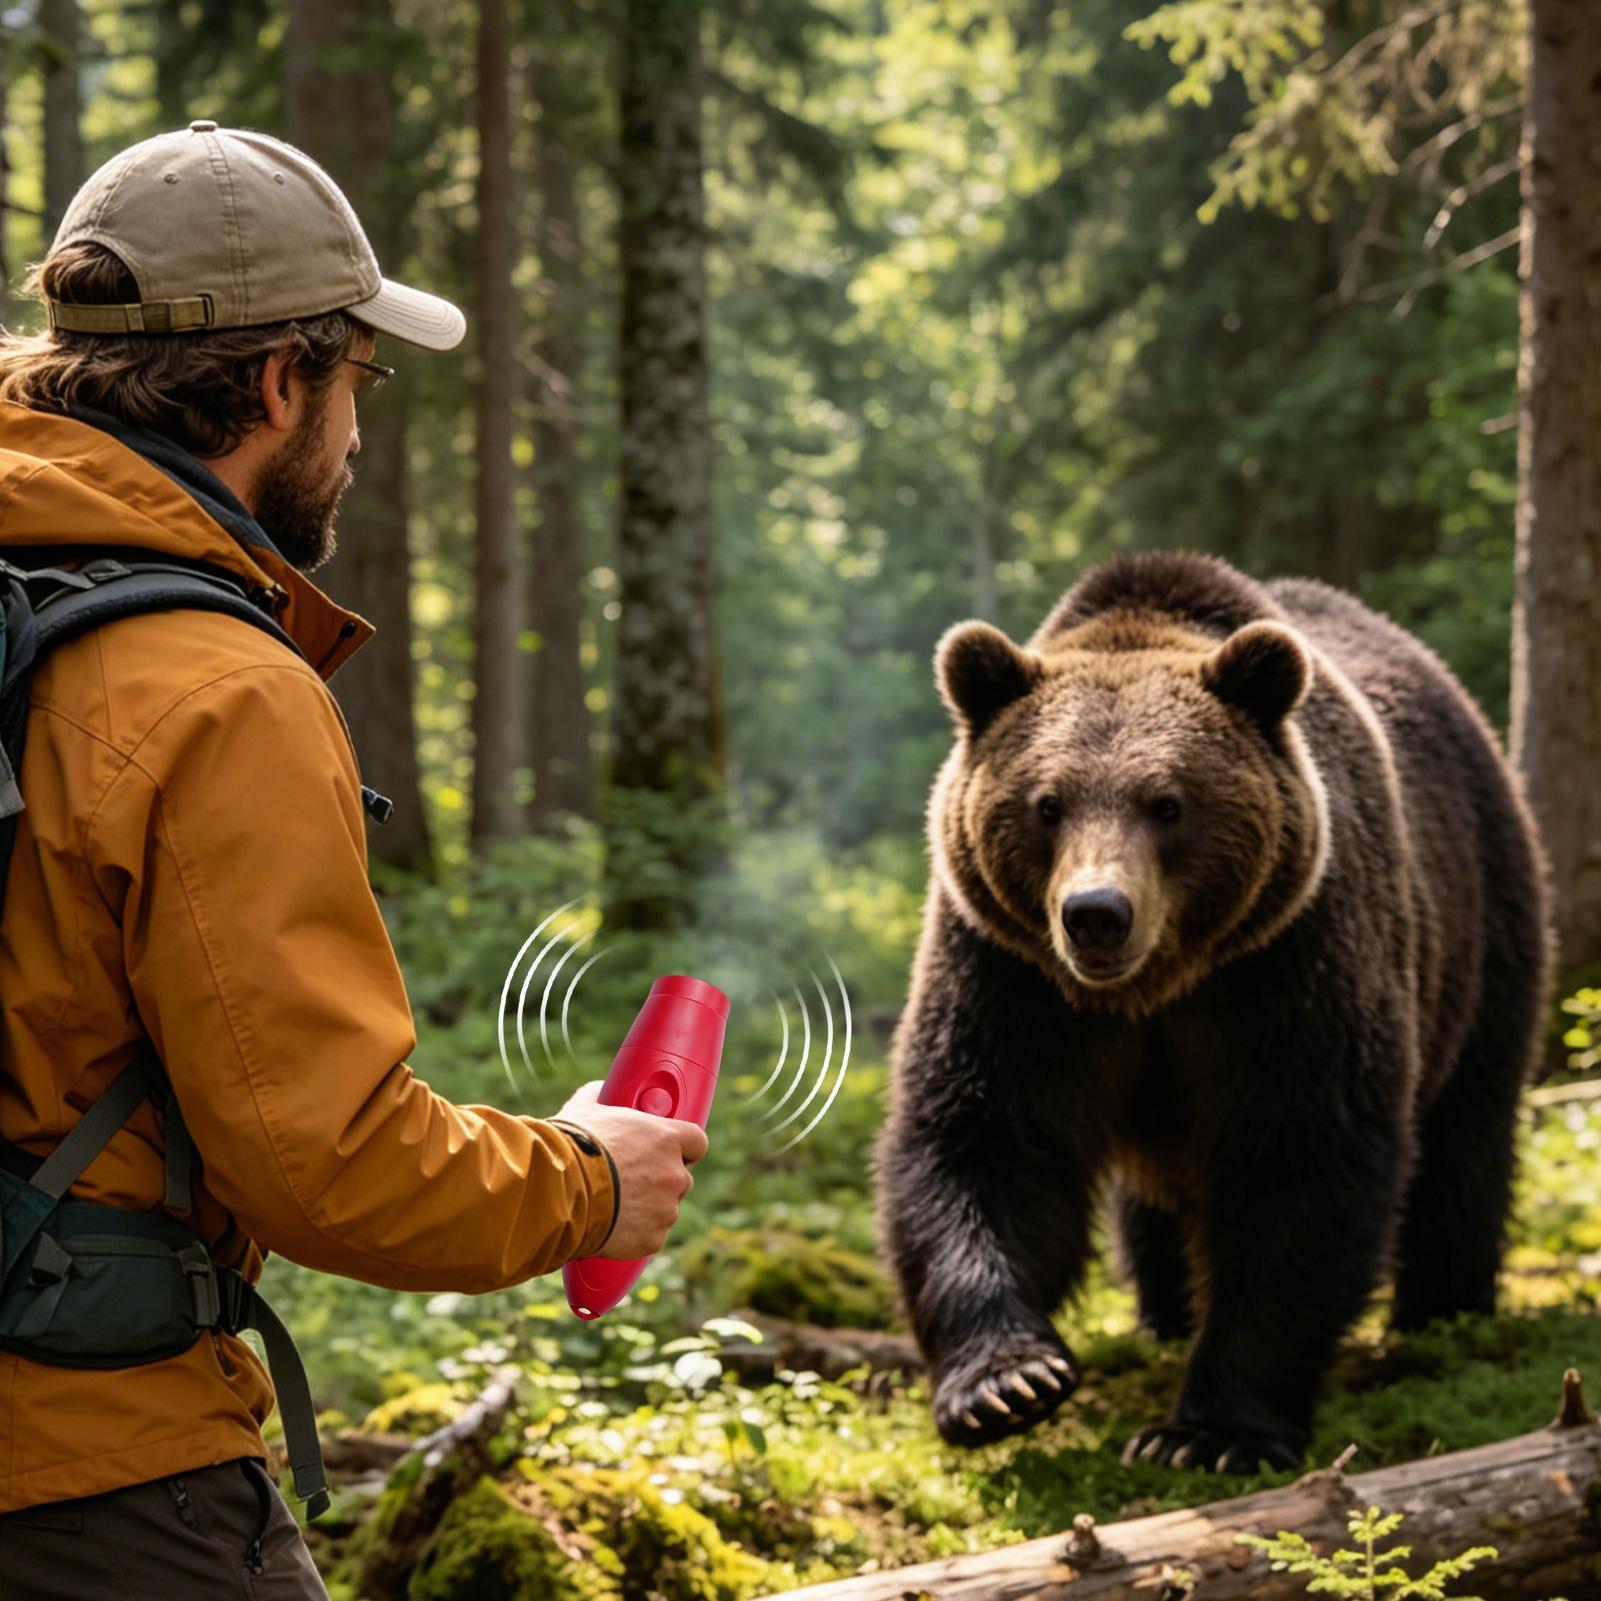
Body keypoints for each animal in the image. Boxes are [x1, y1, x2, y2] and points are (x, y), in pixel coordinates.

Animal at [873, 550, 1551, 1474]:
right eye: (1046, 803)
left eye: (1167, 802)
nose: (1095, 912)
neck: (1154, 986)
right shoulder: (1011, 974)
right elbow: (984, 1139)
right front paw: (1006, 1382)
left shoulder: (1287, 960)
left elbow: (1299, 1158)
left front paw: (1209, 1431)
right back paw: (1164, 1314)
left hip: (1481, 921)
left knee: (1464, 1134)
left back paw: (1444, 1310)